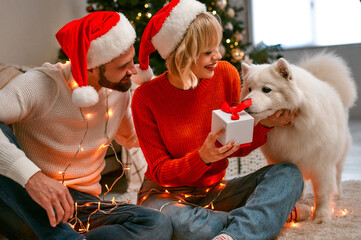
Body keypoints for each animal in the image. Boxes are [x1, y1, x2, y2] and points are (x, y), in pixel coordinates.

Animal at [240, 51, 356, 222]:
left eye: (266, 89)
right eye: (249, 89)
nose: (244, 104)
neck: (293, 125)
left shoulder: (322, 165)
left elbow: (322, 193)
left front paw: (321, 216)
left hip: (339, 155)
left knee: (338, 174)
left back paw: (338, 194)